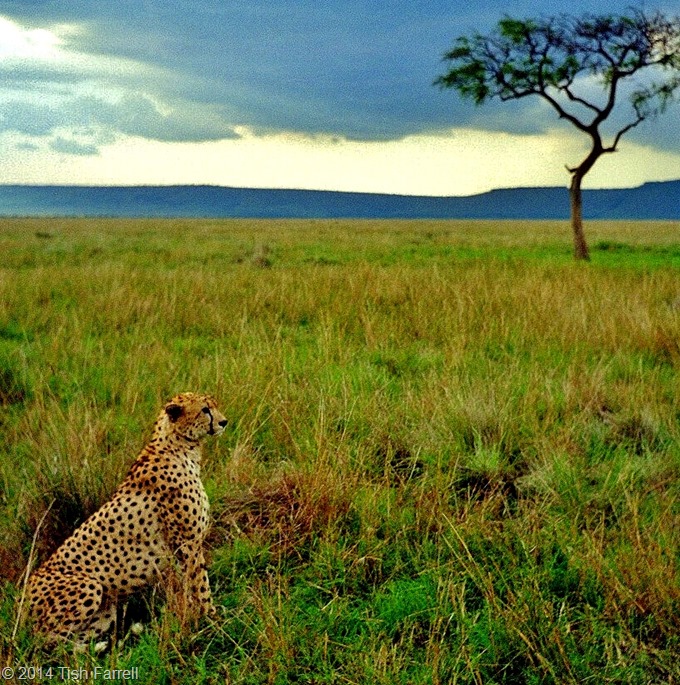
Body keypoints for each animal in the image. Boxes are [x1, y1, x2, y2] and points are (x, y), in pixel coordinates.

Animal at [27, 392, 227, 648]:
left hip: (106, 612)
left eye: (214, 406)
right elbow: (201, 586)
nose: (224, 422)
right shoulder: (188, 544)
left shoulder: (183, 549)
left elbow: (190, 586)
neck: (181, 447)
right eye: (205, 410)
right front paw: (214, 622)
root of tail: (24, 592)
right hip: (89, 585)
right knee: (43, 642)